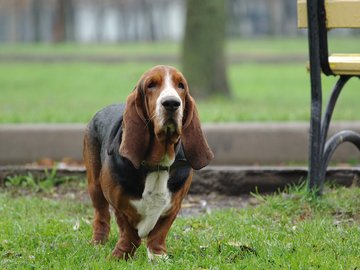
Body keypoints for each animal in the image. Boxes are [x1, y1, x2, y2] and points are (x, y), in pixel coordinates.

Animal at [83, 65, 214, 260]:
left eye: (181, 85)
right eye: (151, 85)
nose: (171, 103)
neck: (157, 164)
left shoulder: (174, 206)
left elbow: (159, 233)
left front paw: (158, 257)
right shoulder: (118, 203)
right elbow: (128, 231)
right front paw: (120, 256)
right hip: (95, 186)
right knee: (101, 215)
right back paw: (98, 243)